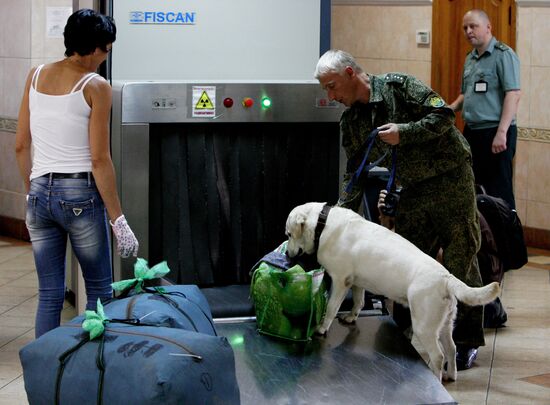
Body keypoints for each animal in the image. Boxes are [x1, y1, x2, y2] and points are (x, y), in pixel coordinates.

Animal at [286, 202, 502, 382]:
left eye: (288, 234)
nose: (287, 254)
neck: (321, 224)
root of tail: (446, 278)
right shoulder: (356, 282)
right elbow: (359, 301)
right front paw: (351, 317)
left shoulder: (340, 280)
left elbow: (331, 308)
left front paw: (322, 328)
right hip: (445, 323)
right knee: (451, 347)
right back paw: (451, 375)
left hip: (424, 326)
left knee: (438, 355)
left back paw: (436, 375)